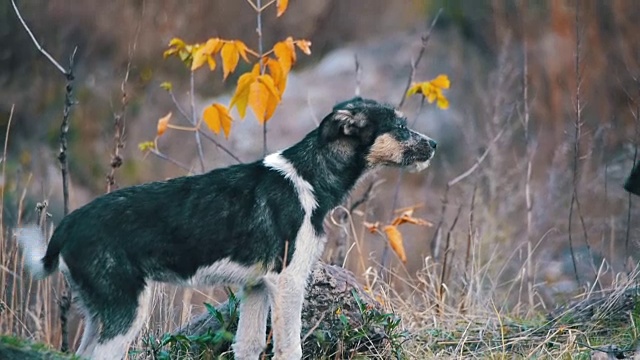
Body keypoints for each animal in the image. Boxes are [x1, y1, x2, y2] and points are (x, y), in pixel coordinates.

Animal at [17, 96, 438, 360]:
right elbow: (290, 349)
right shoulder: (288, 283)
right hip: (126, 310)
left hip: (101, 314)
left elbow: (248, 347)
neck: (308, 177)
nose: (433, 144)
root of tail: (66, 227)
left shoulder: (256, 289)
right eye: (400, 127)